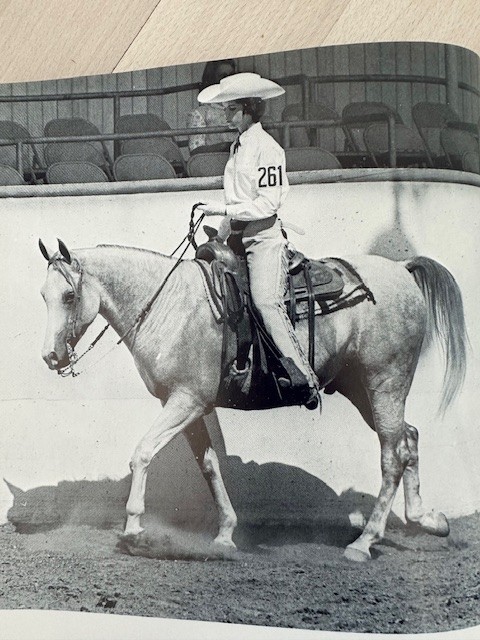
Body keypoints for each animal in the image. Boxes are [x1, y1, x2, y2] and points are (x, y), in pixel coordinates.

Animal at [38, 238, 467, 562]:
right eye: (43, 295)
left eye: (69, 295)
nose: (51, 357)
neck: (169, 305)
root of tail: (401, 269)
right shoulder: (188, 406)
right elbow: (210, 466)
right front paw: (226, 535)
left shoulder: (186, 401)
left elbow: (143, 452)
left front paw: (133, 529)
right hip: (362, 389)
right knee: (407, 438)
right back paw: (427, 519)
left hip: (385, 382)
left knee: (392, 455)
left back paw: (365, 541)